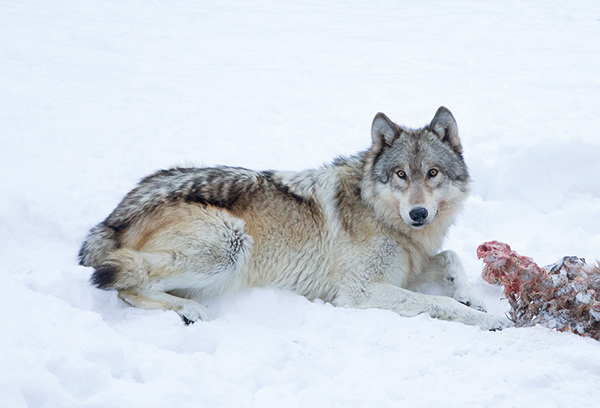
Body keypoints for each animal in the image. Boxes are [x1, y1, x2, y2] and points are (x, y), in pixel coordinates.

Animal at [78, 107, 510, 330]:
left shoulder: (408, 268)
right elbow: (438, 303)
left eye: (432, 173)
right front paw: (487, 319)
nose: (418, 213)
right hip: (231, 246)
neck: (380, 213)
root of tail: (113, 218)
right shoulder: (360, 291)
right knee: (124, 283)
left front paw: (470, 295)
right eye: (401, 174)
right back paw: (192, 311)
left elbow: (451, 257)